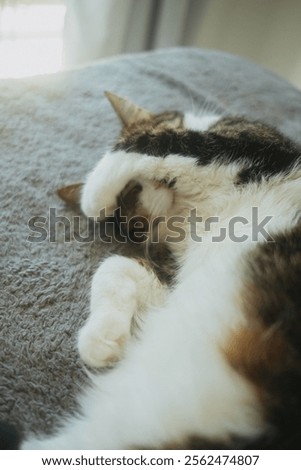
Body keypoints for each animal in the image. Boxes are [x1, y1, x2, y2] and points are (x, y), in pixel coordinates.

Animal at [18, 92, 300, 448]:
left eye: (130, 189)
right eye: (128, 198)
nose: (157, 186)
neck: (190, 207)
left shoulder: (253, 143)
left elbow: (154, 141)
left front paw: (93, 195)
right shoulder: (175, 279)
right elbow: (115, 265)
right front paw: (102, 338)